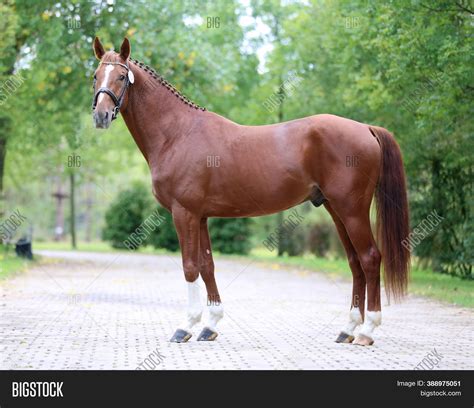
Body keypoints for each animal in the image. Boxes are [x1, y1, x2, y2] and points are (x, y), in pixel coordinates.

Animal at [93, 37, 412, 344]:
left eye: (121, 76)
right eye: (95, 75)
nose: (101, 116)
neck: (178, 134)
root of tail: (366, 128)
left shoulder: (184, 213)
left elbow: (190, 267)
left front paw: (185, 327)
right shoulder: (201, 216)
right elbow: (207, 265)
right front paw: (210, 326)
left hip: (352, 210)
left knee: (370, 258)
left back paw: (367, 331)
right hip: (337, 210)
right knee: (355, 262)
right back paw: (348, 330)